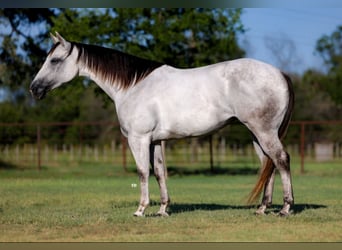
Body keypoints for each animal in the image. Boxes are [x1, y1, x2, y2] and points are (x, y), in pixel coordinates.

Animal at [30, 32, 296, 217]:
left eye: (54, 60)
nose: (34, 89)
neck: (133, 86)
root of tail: (280, 73)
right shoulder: (155, 141)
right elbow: (159, 172)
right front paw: (162, 210)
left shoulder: (138, 138)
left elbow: (142, 172)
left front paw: (141, 209)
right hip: (256, 134)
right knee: (268, 164)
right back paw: (262, 208)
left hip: (264, 132)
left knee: (281, 159)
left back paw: (285, 208)